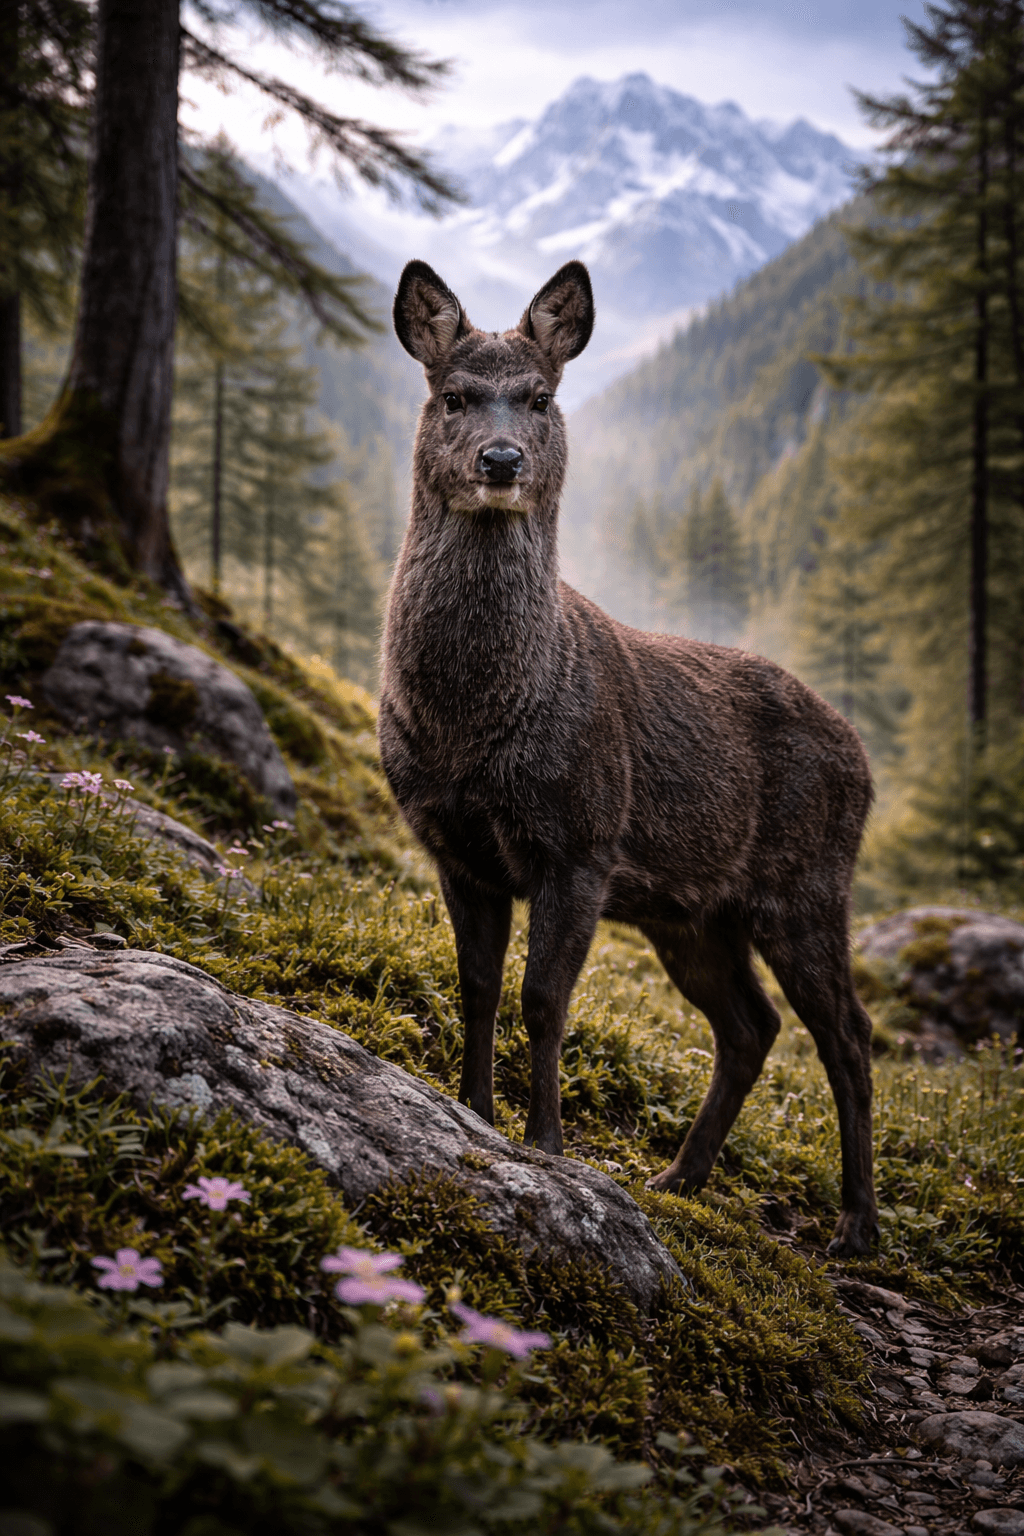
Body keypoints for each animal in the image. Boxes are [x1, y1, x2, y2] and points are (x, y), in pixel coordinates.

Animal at [379, 258, 878, 1258]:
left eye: (540, 396)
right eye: (453, 396)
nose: (502, 461)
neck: (471, 725)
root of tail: (867, 767)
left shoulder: (582, 839)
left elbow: (543, 998)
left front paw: (546, 1143)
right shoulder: (457, 848)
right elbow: (477, 985)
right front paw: (472, 1110)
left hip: (807, 884)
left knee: (847, 1034)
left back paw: (858, 1224)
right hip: (694, 913)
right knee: (752, 1025)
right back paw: (680, 1174)